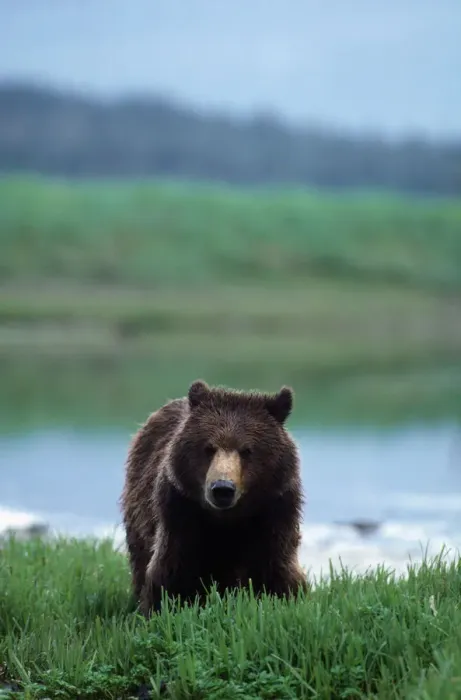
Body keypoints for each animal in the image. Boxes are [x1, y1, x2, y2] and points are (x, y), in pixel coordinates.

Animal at [120, 379, 308, 616]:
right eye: (209, 448)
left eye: (247, 450)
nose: (222, 488)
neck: (226, 520)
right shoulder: (181, 514)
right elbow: (172, 573)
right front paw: (163, 606)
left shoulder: (273, 513)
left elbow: (276, 570)